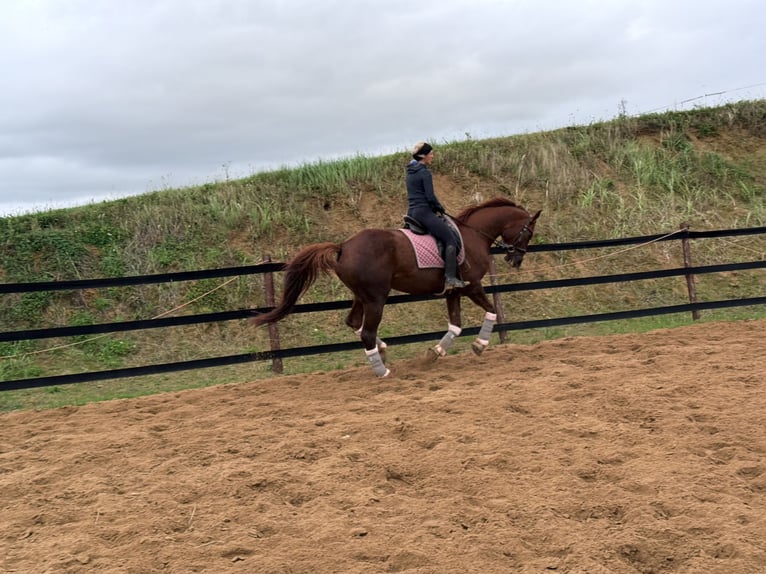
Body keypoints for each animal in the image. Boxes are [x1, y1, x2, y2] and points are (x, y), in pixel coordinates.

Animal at [252, 197, 541, 377]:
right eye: (529, 232)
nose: (515, 259)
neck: (472, 235)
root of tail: (344, 246)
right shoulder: (472, 286)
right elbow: (491, 310)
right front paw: (480, 345)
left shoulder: (454, 291)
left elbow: (455, 326)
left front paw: (435, 353)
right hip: (376, 298)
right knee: (367, 332)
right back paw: (382, 371)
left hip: (361, 296)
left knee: (353, 322)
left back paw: (382, 351)